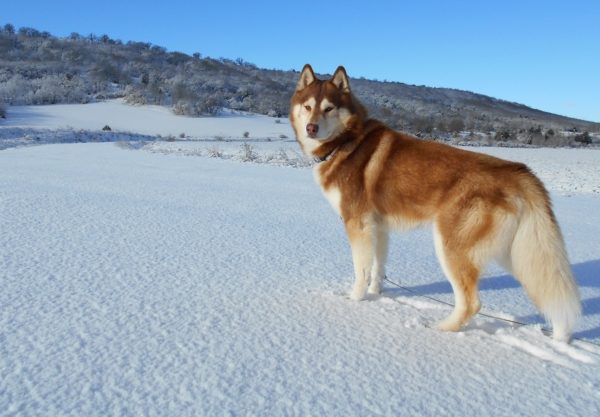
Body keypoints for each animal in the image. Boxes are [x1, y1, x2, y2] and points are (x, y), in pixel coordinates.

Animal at [290, 63, 580, 340]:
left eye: (328, 108)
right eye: (308, 107)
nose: (311, 128)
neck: (346, 141)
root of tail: (517, 171)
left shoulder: (357, 225)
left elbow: (360, 271)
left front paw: (354, 301)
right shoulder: (378, 227)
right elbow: (377, 268)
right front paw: (376, 294)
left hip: (451, 247)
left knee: (471, 303)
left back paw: (441, 330)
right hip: (517, 253)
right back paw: (560, 335)